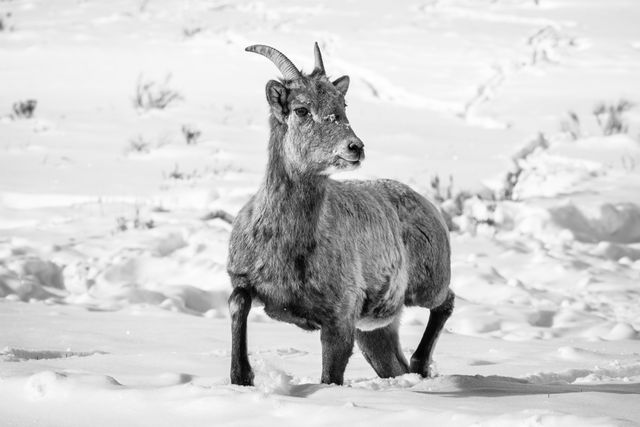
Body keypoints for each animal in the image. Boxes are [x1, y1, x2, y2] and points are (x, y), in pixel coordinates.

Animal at [228, 43, 452, 388]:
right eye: (301, 110)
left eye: (342, 103)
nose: (354, 147)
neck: (287, 247)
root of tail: (431, 208)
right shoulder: (243, 281)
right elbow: (238, 304)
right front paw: (242, 376)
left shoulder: (339, 321)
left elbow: (330, 377)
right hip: (373, 331)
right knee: (393, 364)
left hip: (429, 287)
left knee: (446, 303)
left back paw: (421, 363)